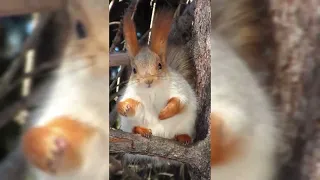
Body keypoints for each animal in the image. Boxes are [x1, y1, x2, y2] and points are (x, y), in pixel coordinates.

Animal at [117, 7, 198, 145]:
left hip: (186, 124)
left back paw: (183, 137)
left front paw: (163, 114)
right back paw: (141, 130)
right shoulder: (132, 93)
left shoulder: (179, 88)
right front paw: (124, 107)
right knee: (134, 125)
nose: (148, 80)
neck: (153, 90)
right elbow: (128, 102)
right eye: (134, 70)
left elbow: (179, 101)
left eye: (160, 65)